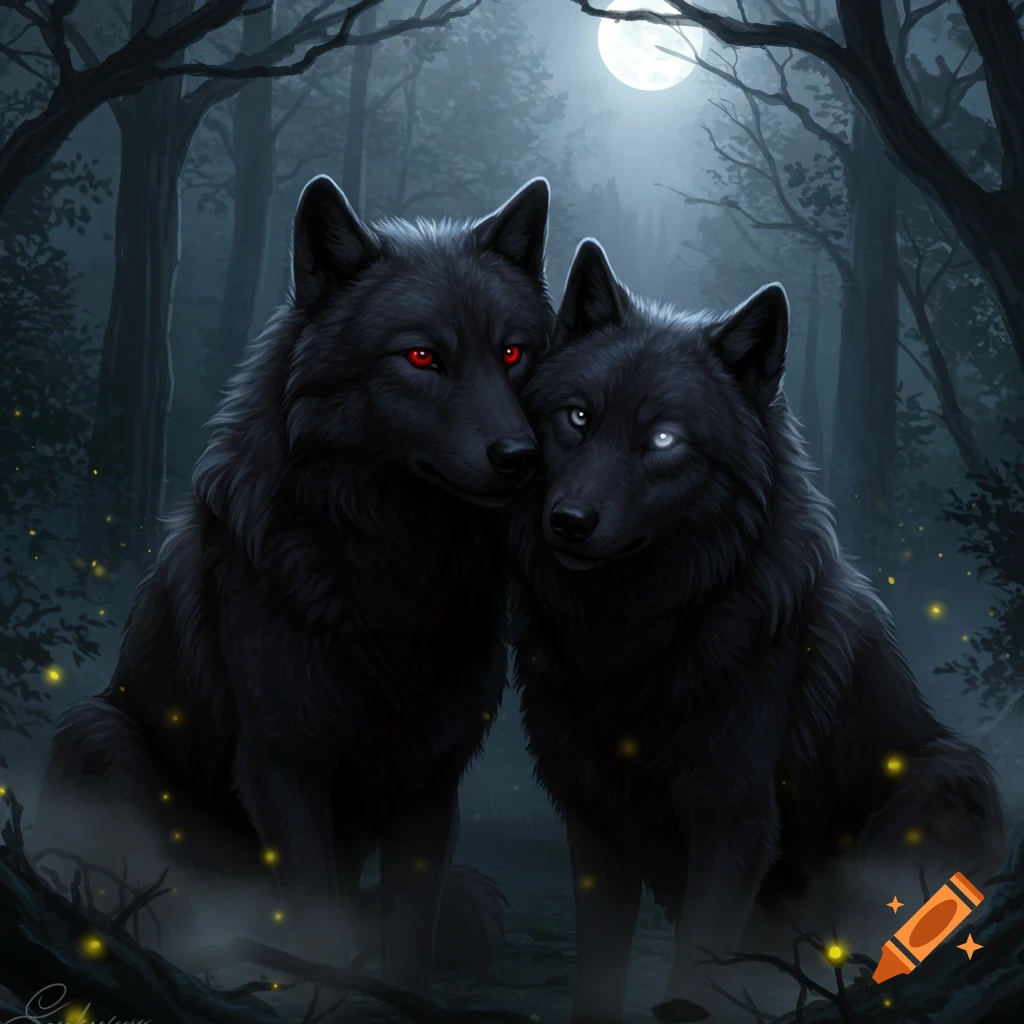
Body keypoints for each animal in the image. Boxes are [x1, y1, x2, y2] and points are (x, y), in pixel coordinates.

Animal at [37, 175, 553, 996]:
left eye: (513, 352)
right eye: (422, 356)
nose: (521, 458)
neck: (399, 576)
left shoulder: (432, 781)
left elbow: (410, 933)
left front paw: (397, 997)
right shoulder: (285, 766)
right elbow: (314, 919)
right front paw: (325, 993)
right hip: (100, 733)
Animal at [507, 239, 1005, 1022]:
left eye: (664, 438)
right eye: (578, 417)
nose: (569, 521)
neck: (630, 637)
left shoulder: (732, 823)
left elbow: (694, 972)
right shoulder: (592, 822)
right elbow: (598, 975)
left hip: (944, 777)